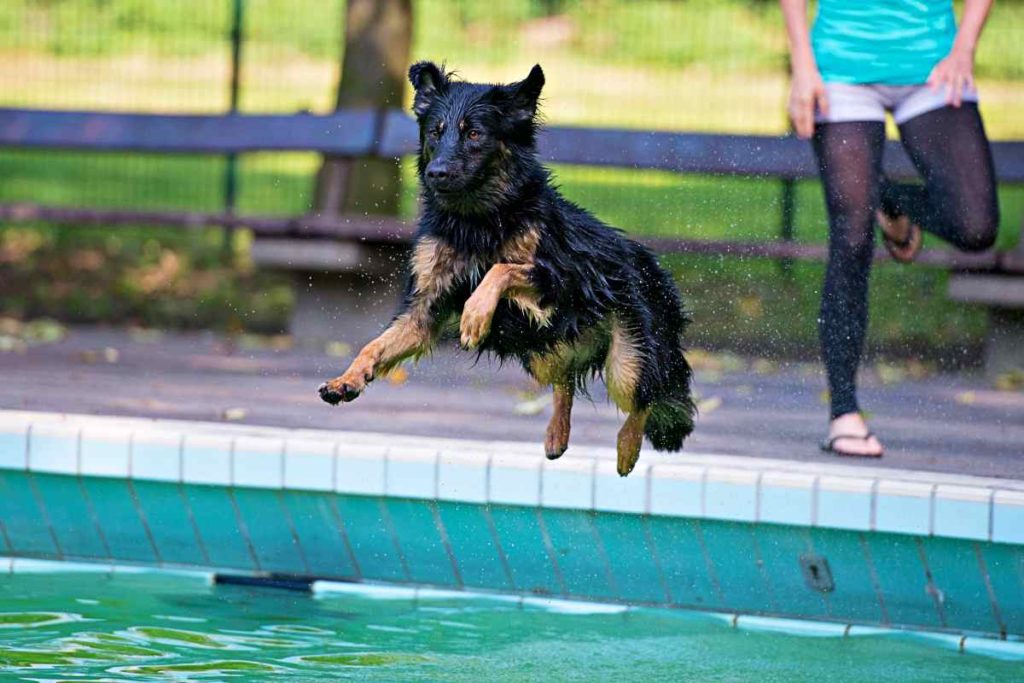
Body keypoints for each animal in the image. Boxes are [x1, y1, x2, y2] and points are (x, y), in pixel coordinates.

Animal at [315, 63, 696, 475]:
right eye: (435, 132)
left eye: (474, 134)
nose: (436, 173)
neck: (476, 220)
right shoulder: (425, 308)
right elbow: (373, 345)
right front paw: (347, 379)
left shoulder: (558, 283)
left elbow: (501, 268)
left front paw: (475, 317)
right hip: (543, 351)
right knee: (565, 379)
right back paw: (556, 434)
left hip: (626, 359)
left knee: (644, 398)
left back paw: (627, 450)